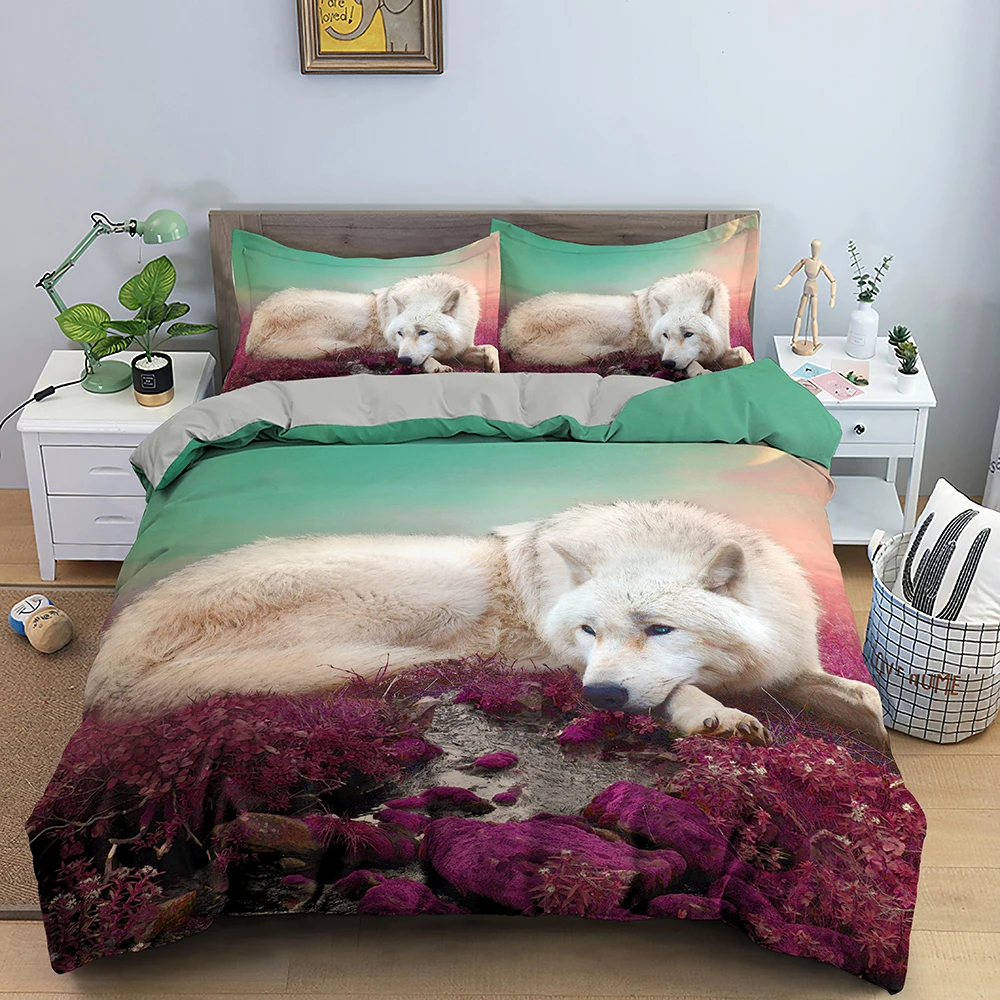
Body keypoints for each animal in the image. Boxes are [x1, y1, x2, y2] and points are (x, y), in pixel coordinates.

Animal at [84, 500, 886, 747]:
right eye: (589, 632)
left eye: (659, 629)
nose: (598, 698)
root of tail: (109, 669)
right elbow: (682, 694)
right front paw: (712, 715)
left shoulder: (788, 659)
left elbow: (858, 694)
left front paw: (875, 726)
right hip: (429, 587)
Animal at [245, 272, 500, 374]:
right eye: (399, 334)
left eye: (423, 332)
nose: (403, 361)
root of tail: (252, 338)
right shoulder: (393, 346)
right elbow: (426, 358)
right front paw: (435, 366)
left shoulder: (461, 347)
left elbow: (491, 347)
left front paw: (493, 366)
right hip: (351, 313)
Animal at [500, 270, 752, 377]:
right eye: (665, 335)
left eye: (688, 334)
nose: (667, 364)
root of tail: (508, 332)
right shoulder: (660, 349)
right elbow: (693, 363)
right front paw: (699, 371)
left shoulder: (723, 347)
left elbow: (743, 351)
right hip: (618, 320)